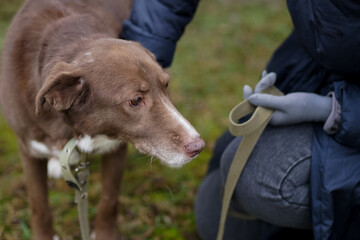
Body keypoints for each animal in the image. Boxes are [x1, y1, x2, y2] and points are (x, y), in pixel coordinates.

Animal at [0, 0, 202, 238]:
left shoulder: (116, 147)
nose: (198, 146)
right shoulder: (28, 148)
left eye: (166, 85)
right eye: (135, 100)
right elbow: (39, 205)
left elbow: (109, 199)